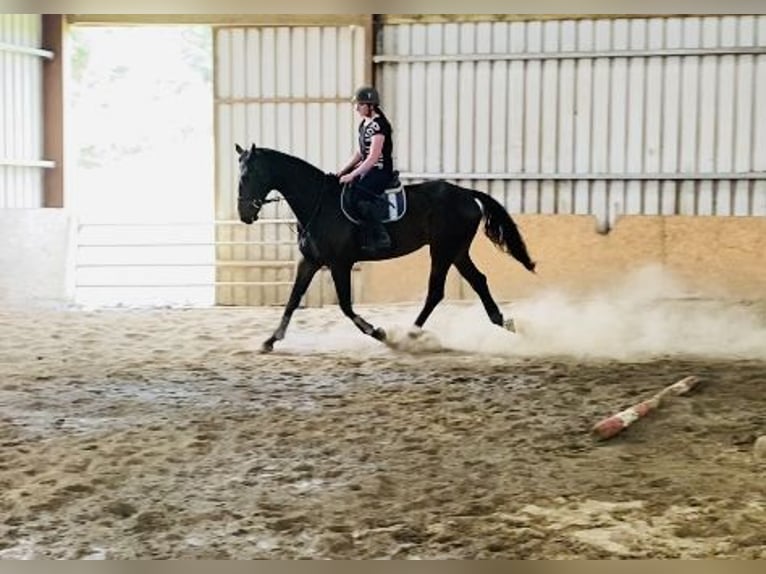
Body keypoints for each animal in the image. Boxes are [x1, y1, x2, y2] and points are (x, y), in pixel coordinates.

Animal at [237, 144, 536, 352]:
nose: (244, 215)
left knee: (436, 292)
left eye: (249, 175)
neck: (319, 204)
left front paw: (380, 334)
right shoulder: (309, 261)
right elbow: (293, 299)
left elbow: (345, 306)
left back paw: (408, 336)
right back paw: (504, 323)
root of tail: (466, 194)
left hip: (442, 250)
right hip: (457, 251)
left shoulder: (339, 263)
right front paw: (270, 340)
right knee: (478, 281)